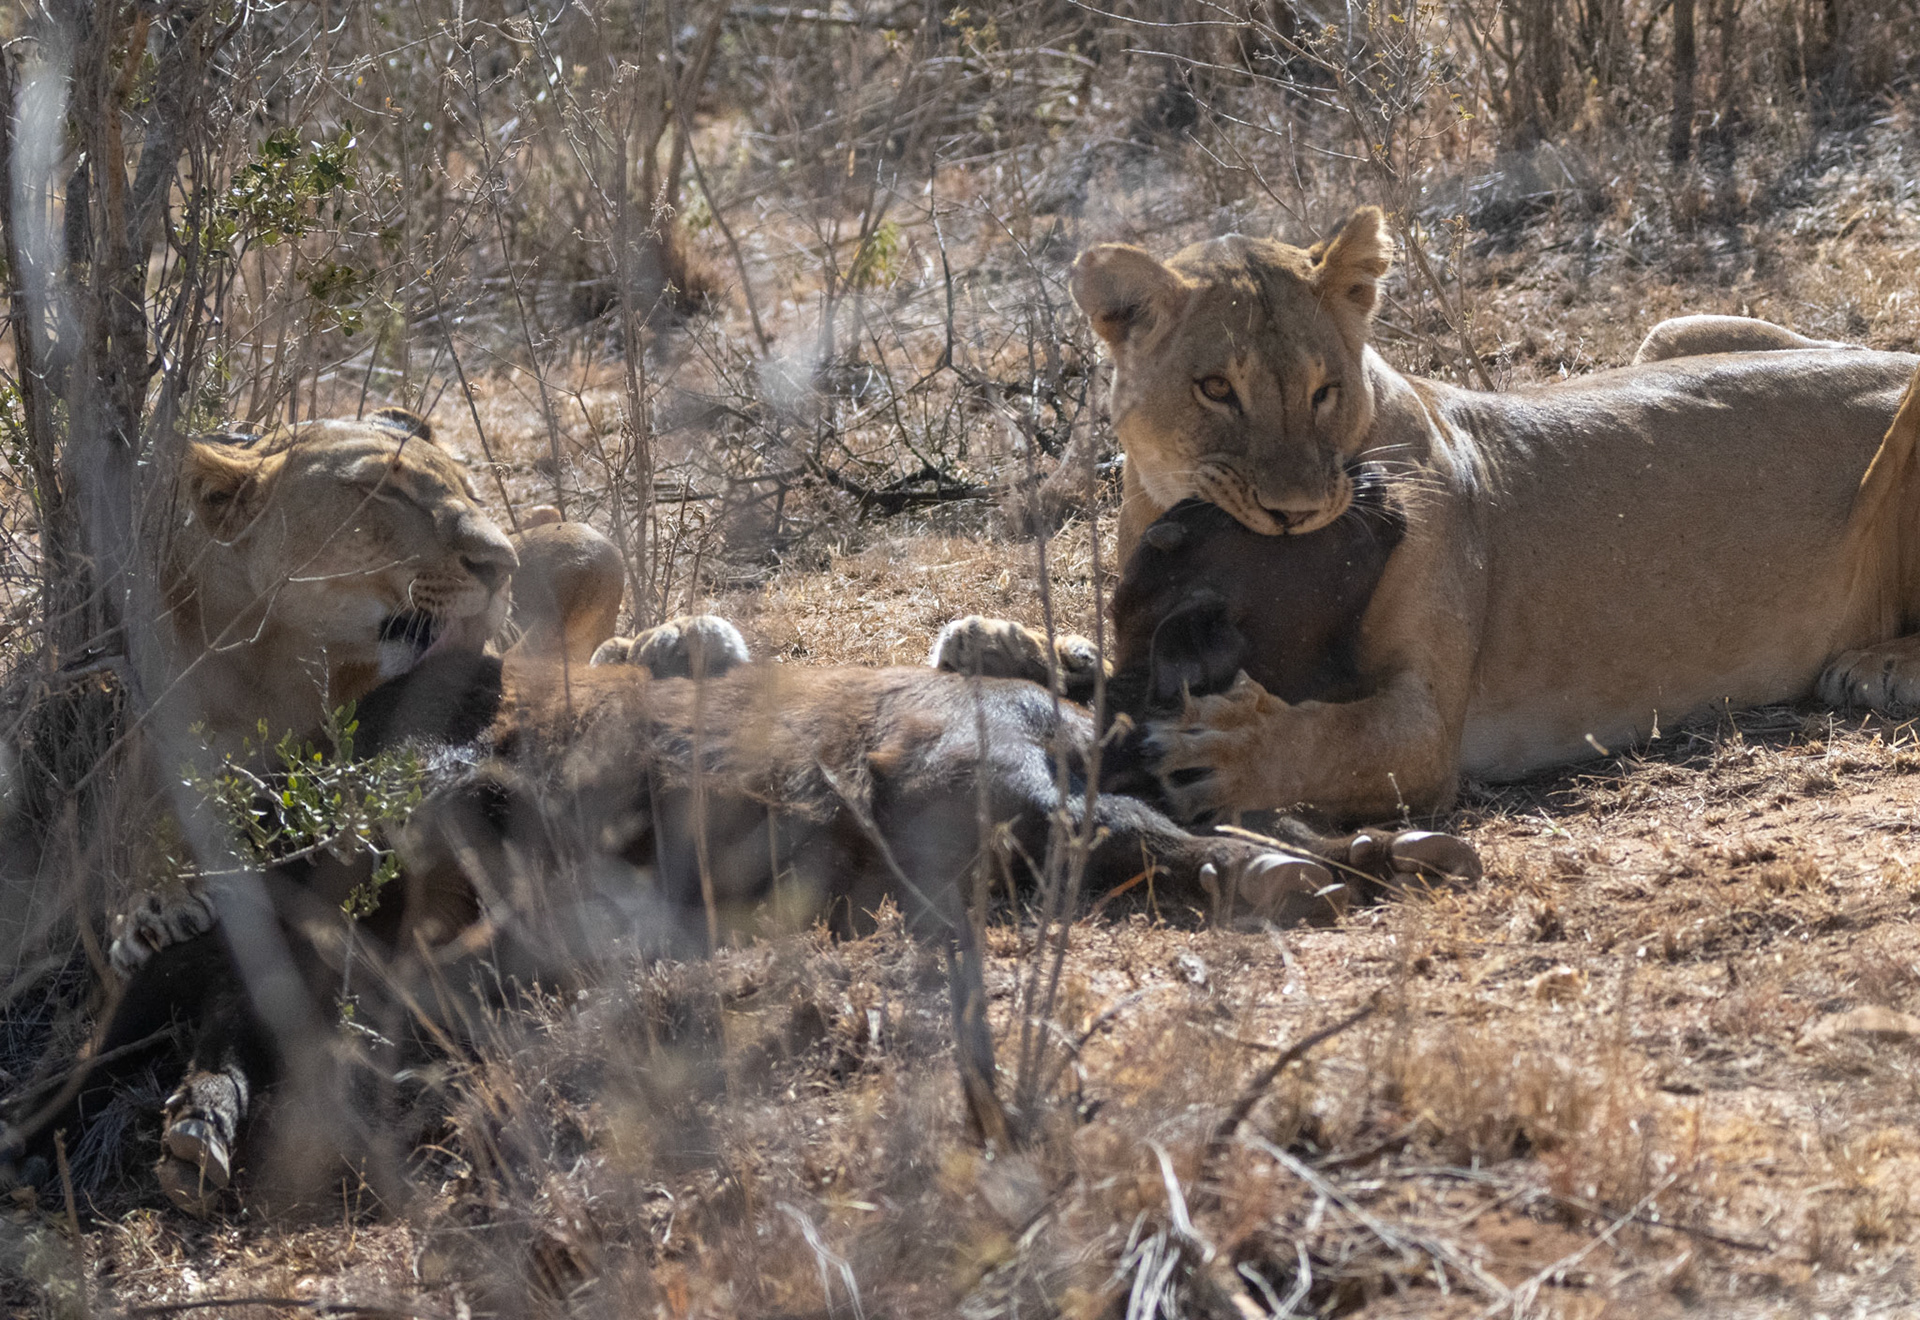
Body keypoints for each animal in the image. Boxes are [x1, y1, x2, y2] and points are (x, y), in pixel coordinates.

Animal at [956, 208, 1920, 822]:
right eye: (1216, 389)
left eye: (1324, 390)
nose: (1296, 513)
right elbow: (1107, 661)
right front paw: (996, 643)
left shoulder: (1424, 728)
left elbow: (1334, 737)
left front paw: (1221, 752)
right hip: (1673, 329)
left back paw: (1876, 669)